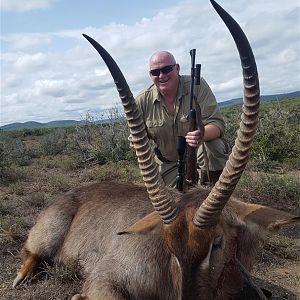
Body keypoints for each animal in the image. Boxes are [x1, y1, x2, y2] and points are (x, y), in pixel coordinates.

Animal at [12, 1, 298, 298]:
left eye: (217, 243)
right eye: (169, 247)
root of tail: (71, 193)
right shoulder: (104, 279)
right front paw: (78, 294)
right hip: (46, 237)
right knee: (30, 251)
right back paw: (22, 276)